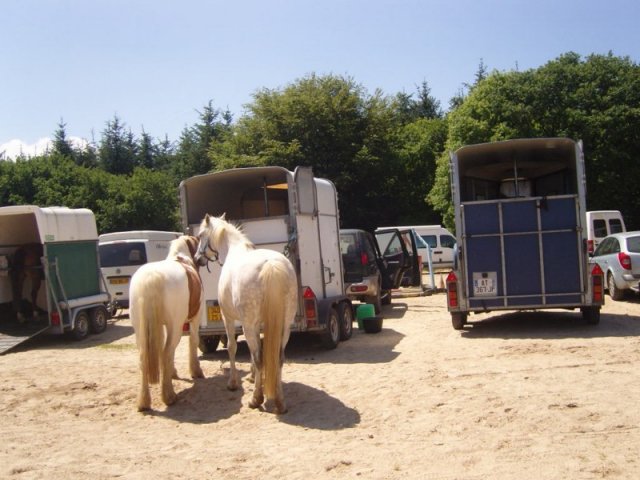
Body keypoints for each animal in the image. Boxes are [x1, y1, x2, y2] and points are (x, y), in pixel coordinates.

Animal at [129, 235, 204, 411]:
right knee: (166, 352)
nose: (201, 259)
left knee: (144, 357)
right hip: (175, 327)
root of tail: (151, 277)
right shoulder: (195, 318)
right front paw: (195, 371)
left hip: (140, 329)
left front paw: (172, 373)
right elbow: (193, 341)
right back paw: (169, 396)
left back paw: (144, 402)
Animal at [195, 213, 298, 414]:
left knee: (259, 358)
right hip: (284, 327)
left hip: (248, 325)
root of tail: (270, 265)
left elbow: (233, 347)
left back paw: (256, 399)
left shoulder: (229, 318)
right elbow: (253, 351)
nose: (196, 259)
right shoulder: (257, 325)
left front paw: (233, 382)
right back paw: (280, 402)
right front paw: (252, 377)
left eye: (201, 235)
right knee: (278, 358)